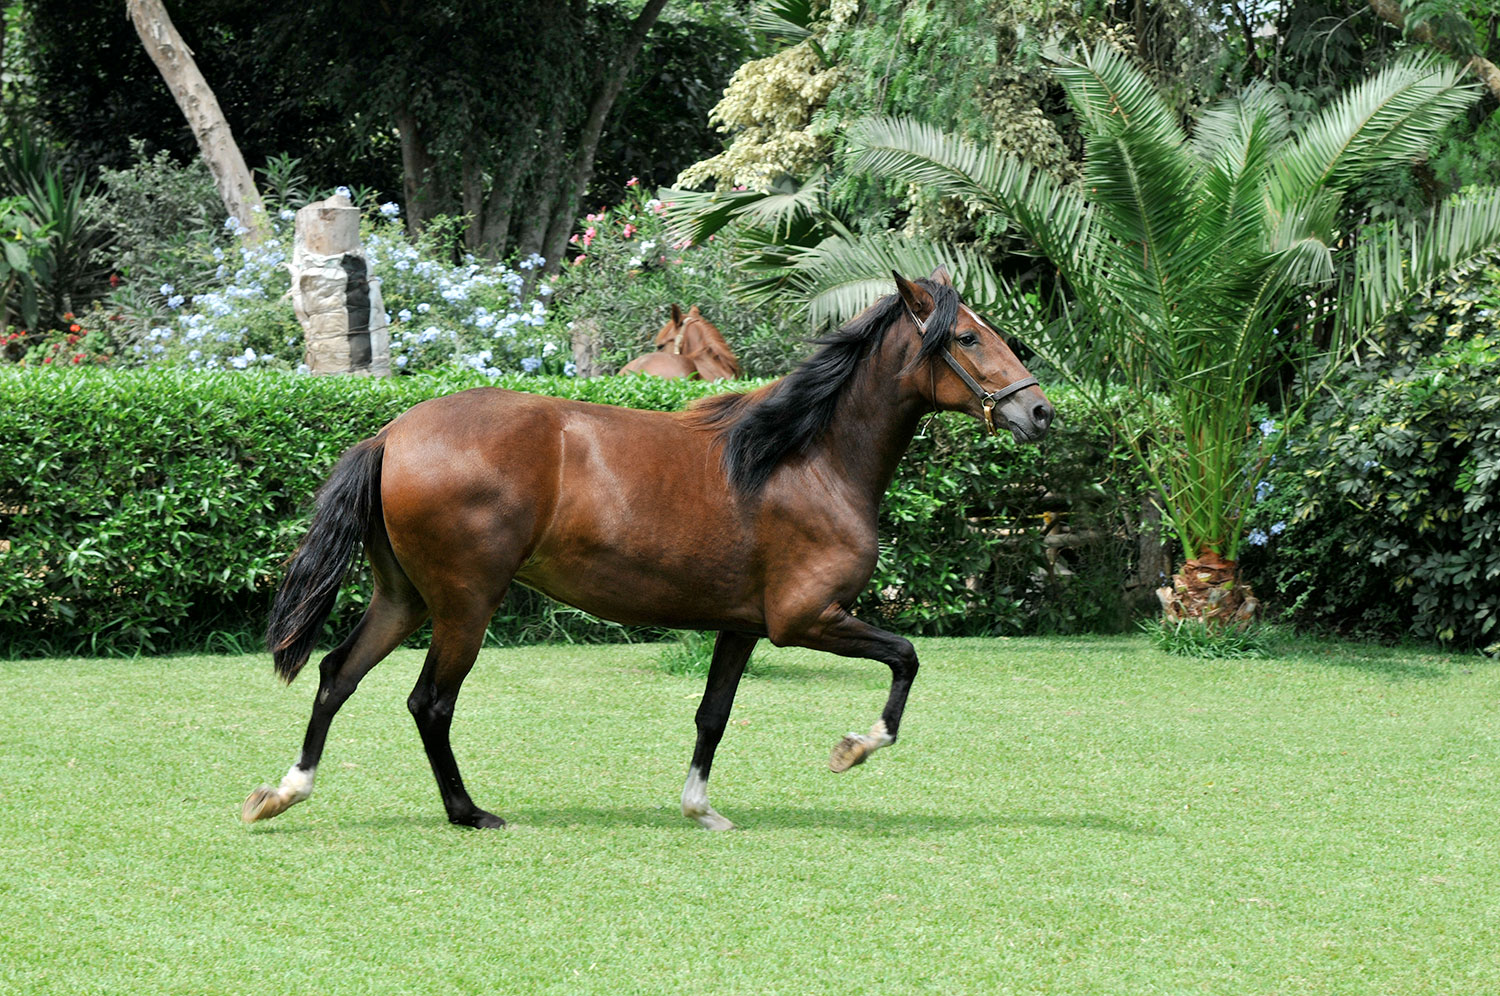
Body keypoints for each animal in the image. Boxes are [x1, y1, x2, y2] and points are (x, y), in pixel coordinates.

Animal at [242, 268, 1052, 832]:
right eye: (969, 337)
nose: (1040, 411)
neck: (804, 459)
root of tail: (391, 434)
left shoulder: (741, 626)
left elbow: (713, 716)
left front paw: (702, 809)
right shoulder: (805, 619)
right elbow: (906, 658)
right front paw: (854, 746)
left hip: (404, 598)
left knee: (337, 675)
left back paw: (283, 792)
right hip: (465, 603)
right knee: (429, 703)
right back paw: (468, 812)